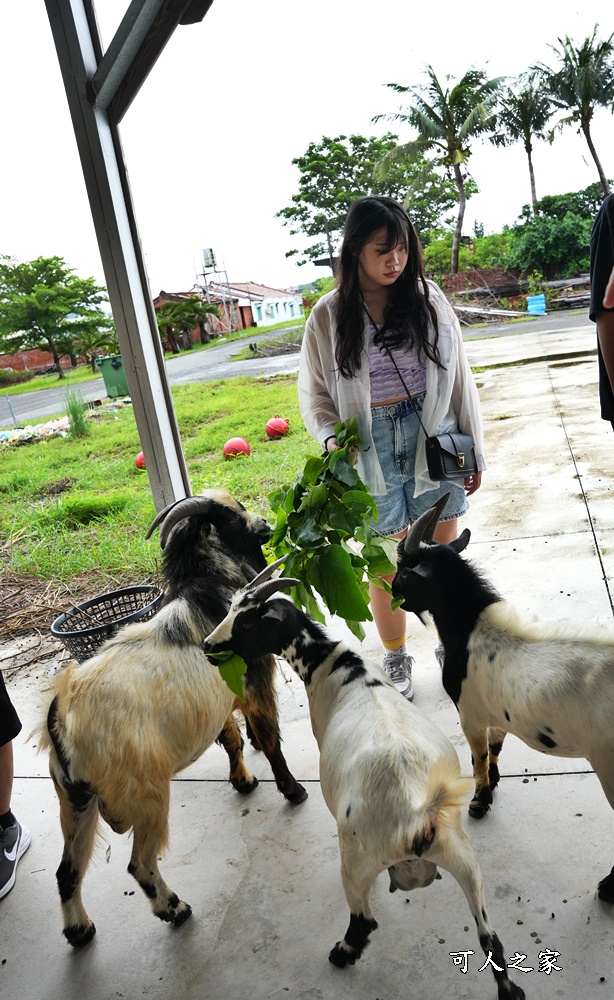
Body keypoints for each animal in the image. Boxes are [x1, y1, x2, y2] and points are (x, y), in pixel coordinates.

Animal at [39, 490, 308, 944]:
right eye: (232, 515)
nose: (266, 524)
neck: (209, 587)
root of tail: (62, 725)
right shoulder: (255, 681)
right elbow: (270, 740)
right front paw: (293, 791)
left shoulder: (219, 702)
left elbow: (232, 738)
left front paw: (244, 782)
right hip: (147, 796)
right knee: (139, 864)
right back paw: (175, 909)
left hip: (73, 801)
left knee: (66, 872)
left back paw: (80, 931)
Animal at [392, 496, 614, 904]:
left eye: (402, 571)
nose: (392, 595)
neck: (471, 628)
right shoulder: (498, 712)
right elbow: (496, 747)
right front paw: (494, 784)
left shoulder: (469, 712)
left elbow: (478, 756)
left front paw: (480, 801)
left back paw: (608, 888)